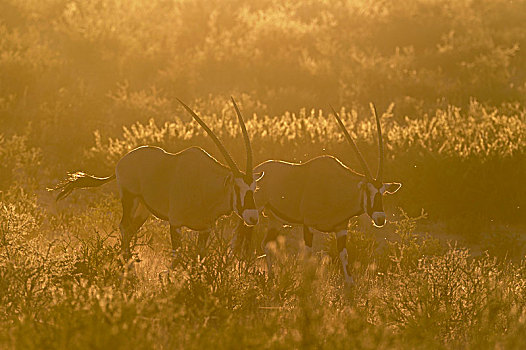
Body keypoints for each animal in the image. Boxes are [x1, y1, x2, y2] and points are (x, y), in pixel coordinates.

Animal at [53, 97, 264, 262]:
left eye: (254, 188)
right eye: (237, 187)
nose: (253, 217)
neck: (206, 184)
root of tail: (122, 161)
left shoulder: (205, 229)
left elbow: (200, 258)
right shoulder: (175, 224)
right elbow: (176, 259)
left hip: (143, 209)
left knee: (130, 230)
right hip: (129, 199)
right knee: (124, 228)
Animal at [233, 103, 402, 284]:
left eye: (382, 192)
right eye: (368, 190)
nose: (380, 218)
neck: (336, 187)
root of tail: (257, 170)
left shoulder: (341, 229)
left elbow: (344, 255)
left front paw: (350, 284)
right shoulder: (309, 225)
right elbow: (308, 255)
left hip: (275, 220)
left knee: (265, 243)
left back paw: (271, 276)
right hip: (250, 215)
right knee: (240, 240)